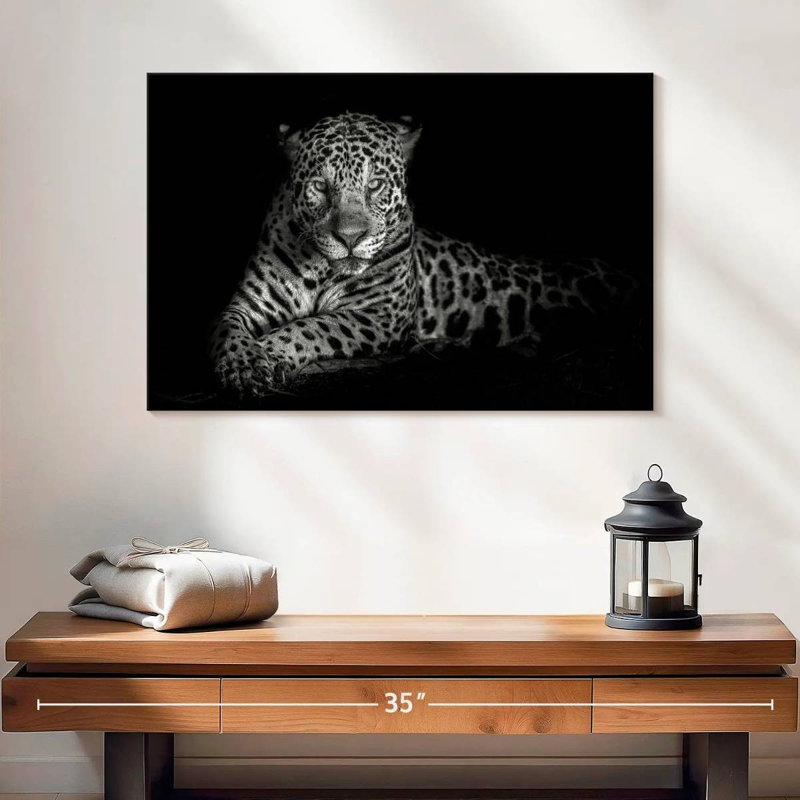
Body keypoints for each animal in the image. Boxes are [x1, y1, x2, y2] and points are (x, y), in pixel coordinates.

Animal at [209, 112, 632, 397]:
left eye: (375, 185)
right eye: (320, 186)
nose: (350, 238)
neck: (322, 268)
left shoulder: (379, 316)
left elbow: (313, 326)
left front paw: (269, 351)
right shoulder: (245, 305)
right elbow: (227, 330)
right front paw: (245, 364)